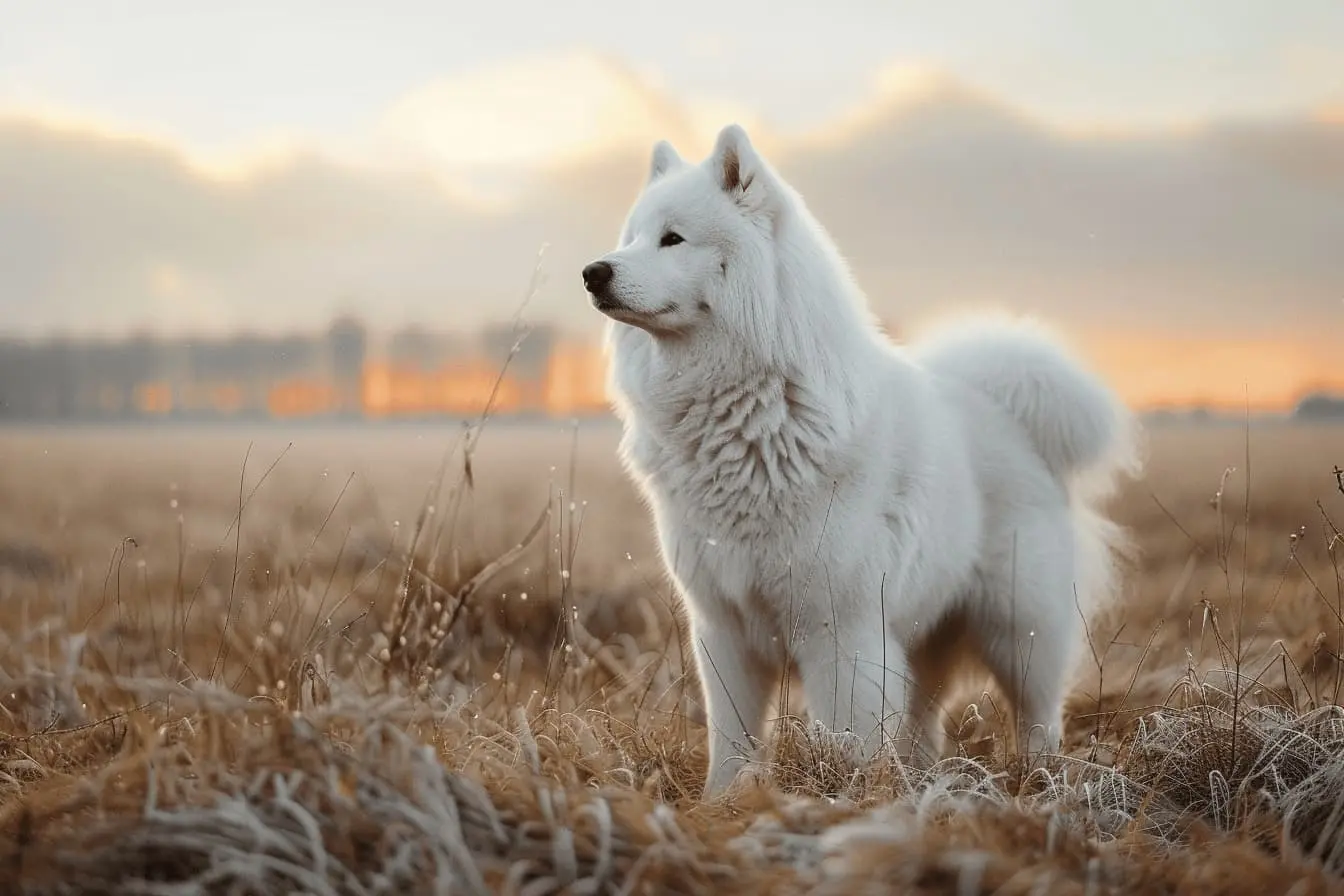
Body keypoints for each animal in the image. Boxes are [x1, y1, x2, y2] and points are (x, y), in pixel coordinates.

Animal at [583, 120, 1139, 800]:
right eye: (631, 238)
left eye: (672, 238)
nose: (593, 272)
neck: (752, 410)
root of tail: (1005, 410)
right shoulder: (724, 628)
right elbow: (733, 738)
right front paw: (724, 801)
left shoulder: (841, 630)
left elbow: (845, 734)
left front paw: (839, 796)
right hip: (924, 636)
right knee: (924, 722)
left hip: (1020, 627)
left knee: (1037, 713)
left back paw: (1040, 781)